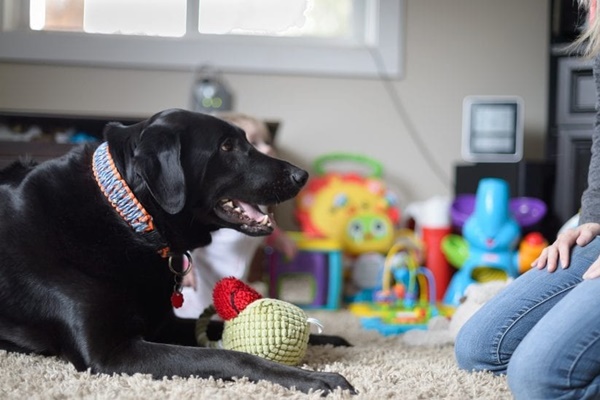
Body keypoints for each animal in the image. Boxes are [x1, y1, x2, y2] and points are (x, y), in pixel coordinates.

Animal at [0, 108, 356, 394]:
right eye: (226, 146)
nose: (302, 175)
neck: (128, 216)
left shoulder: (164, 324)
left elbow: (216, 328)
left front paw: (324, 338)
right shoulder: (111, 352)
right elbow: (231, 356)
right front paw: (317, 378)